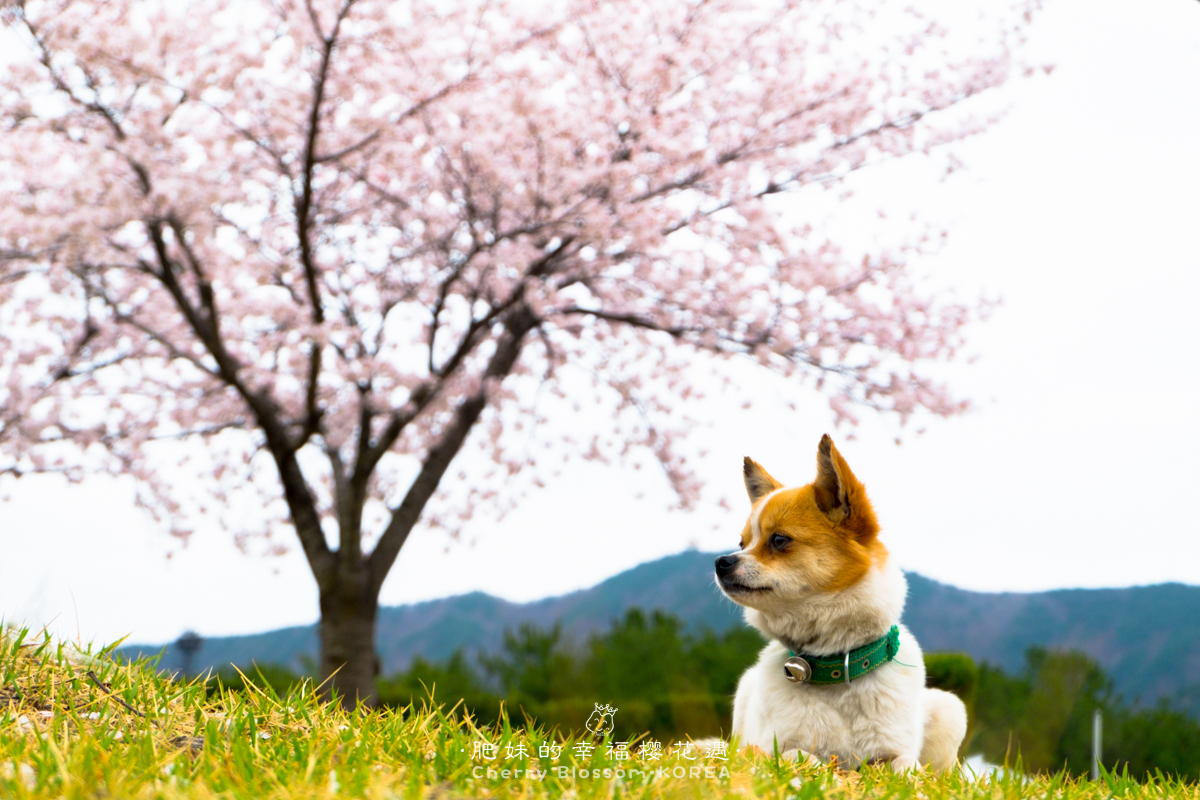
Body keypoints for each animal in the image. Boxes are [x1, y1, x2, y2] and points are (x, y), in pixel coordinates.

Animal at [710, 434, 964, 772]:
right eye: (743, 543)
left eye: (778, 540)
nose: (721, 562)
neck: (832, 664)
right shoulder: (768, 750)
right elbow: (801, 757)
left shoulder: (894, 753)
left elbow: (907, 766)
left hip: (951, 709)